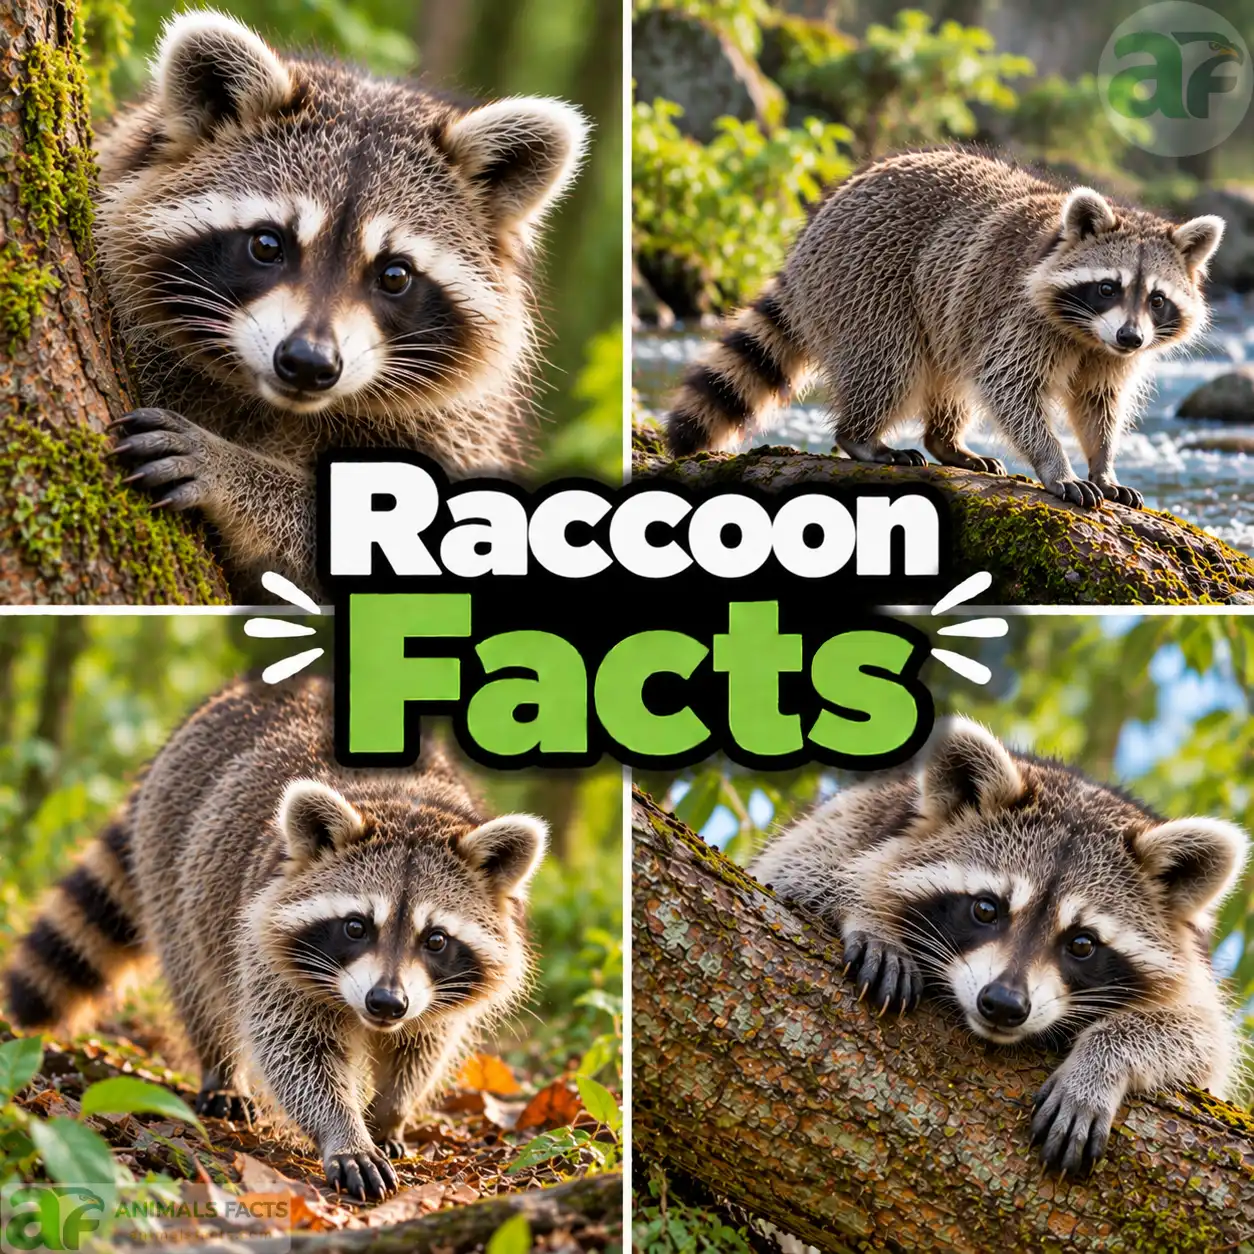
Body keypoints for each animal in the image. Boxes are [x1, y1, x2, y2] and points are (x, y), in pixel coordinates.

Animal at [4, 677, 546, 1201]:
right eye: (356, 926)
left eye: (435, 939)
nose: (386, 1003)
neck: (405, 806)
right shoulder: (266, 947)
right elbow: (294, 1050)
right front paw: (344, 1131)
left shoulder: (436, 989)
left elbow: (423, 1046)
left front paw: (390, 1112)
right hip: (171, 869)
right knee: (198, 982)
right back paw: (220, 1068)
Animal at [99, 10, 588, 597]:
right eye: (268, 245)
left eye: (395, 275)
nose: (308, 363)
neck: (278, 406)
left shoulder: (461, 430)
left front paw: (234, 470)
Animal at [665, 149, 1225, 510]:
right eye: (1108, 287)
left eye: (1156, 299)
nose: (1131, 338)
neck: (1088, 333)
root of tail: (811, 234)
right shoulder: (1018, 314)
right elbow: (1010, 386)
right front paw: (1055, 464)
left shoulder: (1107, 352)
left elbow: (1098, 402)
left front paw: (1102, 463)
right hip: (864, 279)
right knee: (888, 359)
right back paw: (861, 436)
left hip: (946, 312)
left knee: (950, 375)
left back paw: (945, 441)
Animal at [749, 717, 1248, 1174]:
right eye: (986, 909)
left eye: (1082, 944)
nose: (1005, 1004)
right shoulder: (866, 817)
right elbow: (795, 870)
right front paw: (868, 914)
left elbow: (1201, 1038)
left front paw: (1102, 1059)